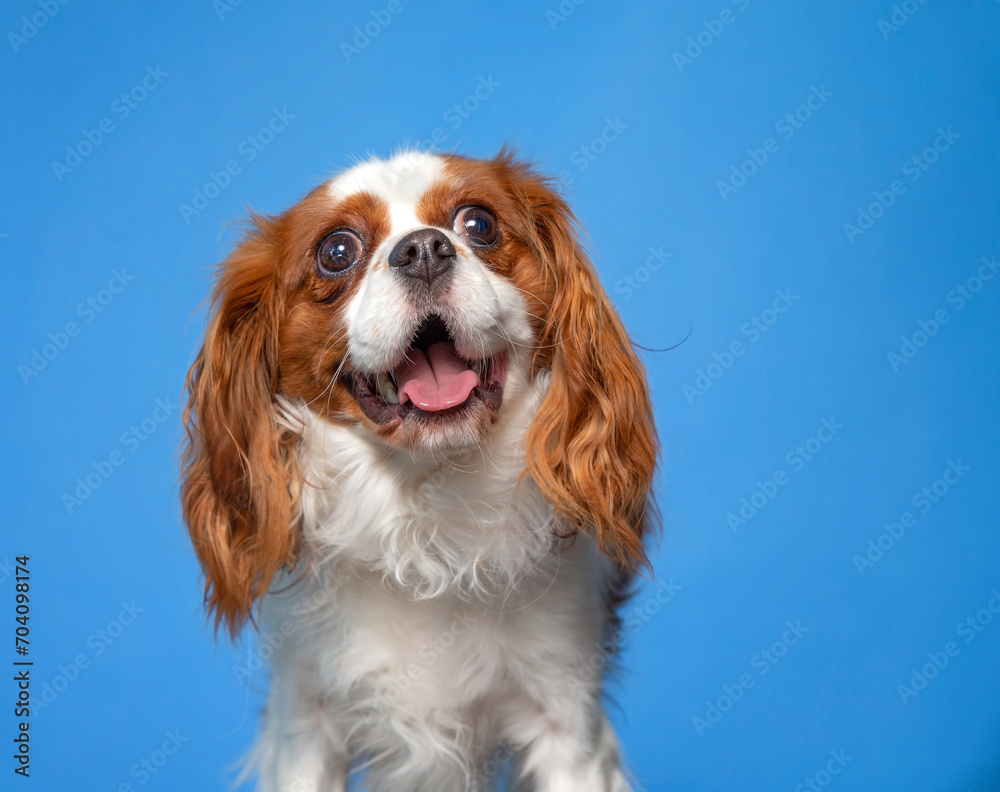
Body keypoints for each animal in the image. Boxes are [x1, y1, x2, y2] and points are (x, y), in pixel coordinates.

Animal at [180, 150, 656, 792]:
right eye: (336, 251)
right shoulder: (304, 720)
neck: (425, 500)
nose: (424, 249)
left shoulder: (566, 720)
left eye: (478, 223)